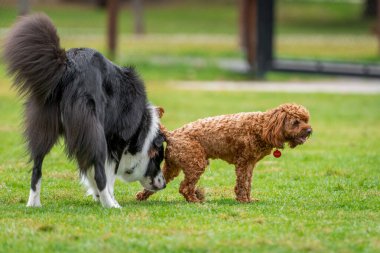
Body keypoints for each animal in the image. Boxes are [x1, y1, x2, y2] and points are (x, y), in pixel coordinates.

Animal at [2, 13, 166, 208]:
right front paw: (108, 197)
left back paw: (33, 203)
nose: (164, 184)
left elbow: (88, 170)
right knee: (100, 174)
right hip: (95, 130)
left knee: (36, 168)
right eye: (159, 159)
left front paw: (97, 195)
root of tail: (67, 66)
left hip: (44, 126)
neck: (142, 127)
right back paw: (111, 205)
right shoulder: (115, 143)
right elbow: (106, 175)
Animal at [137, 103, 312, 204]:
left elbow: (247, 183)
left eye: (306, 119)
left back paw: (141, 197)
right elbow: (242, 183)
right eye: (296, 122)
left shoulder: (250, 164)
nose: (310, 130)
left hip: (173, 166)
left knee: (156, 183)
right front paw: (243, 200)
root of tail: (172, 135)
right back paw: (195, 200)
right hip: (196, 162)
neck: (262, 127)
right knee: (185, 187)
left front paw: (249, 199)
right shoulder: (243, 162)